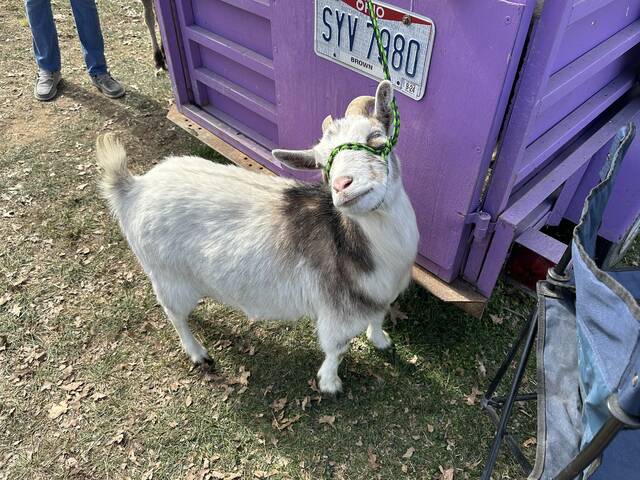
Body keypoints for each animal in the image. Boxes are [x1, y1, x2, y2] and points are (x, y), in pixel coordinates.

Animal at [96, 81, 419, 394]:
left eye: (376, 139)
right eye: (322, 165)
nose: (342, 186)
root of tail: (133, 188)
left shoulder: (380, 294)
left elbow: (378, 317)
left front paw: (381, 340)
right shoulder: (336, 309)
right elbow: (337, 348)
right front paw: (330, 383)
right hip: (166, 274)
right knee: (174, 314)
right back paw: (198, 353)